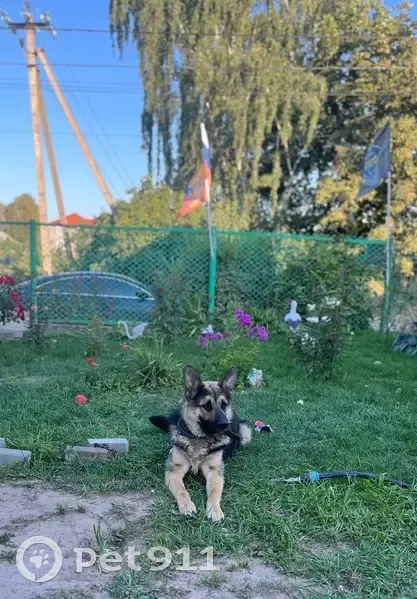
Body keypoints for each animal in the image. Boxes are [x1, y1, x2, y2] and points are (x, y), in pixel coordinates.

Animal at [149, 365, 252, 522]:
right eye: (206, 406)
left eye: (224, 405)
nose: (225, 424)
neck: (199, 438)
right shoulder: (174, 470)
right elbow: (181, 490)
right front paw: (186, 506)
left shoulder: (214, 471)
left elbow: (214, 492)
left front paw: (214, 509)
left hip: (245, 432)